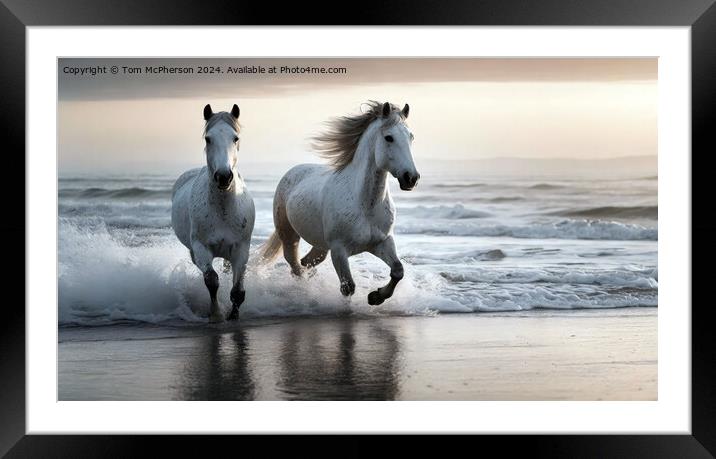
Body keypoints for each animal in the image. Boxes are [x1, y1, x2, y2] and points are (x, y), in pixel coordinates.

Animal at [171, 104, 255, 322]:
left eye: (235, 138)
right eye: (208, 139)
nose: (224, 176)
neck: (223, 212)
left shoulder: (241, 249)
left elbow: (238, 291)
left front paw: (233, 316)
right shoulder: (201, 248)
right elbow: (211, 280)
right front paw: (216, 315)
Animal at [262, 102, 420, 308]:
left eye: (411, 137)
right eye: (389, 137)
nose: (411, 178)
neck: (365, 205)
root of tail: (292, 171)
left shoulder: (382, 242)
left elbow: (398, 271)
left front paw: (375, 297)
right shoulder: (339, 250)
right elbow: (348, 287)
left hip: (321, 246)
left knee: (306, 262)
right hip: (289, 235)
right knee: (295, 266)